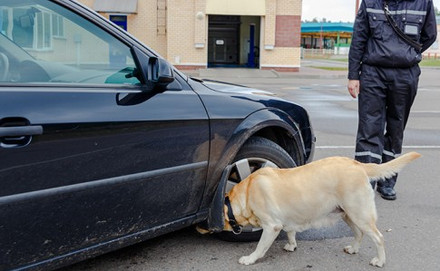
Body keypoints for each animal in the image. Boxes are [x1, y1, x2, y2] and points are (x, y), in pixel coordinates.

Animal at [223, 152, 420, 268]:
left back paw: (380, 261)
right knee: (359, 233)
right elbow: (291, 232)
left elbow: (260, 247)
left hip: (359, 213)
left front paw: (250, 258)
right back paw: (353, 249)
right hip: (348, 214)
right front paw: (292, 245)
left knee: (378, 237)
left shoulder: (272, 226)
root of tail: (358, 164)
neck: (248, 191)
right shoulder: (287, 220)